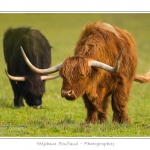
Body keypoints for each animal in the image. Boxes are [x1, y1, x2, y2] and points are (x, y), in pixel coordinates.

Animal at [19, 21, 150, 124]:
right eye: (62, 76)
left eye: (82, 75)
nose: (66, 92)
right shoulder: (87, 89)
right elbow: (92, 106)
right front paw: (90, 122)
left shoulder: (121, 83)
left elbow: (118, 102)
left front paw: (124, 122)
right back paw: (103, 121)